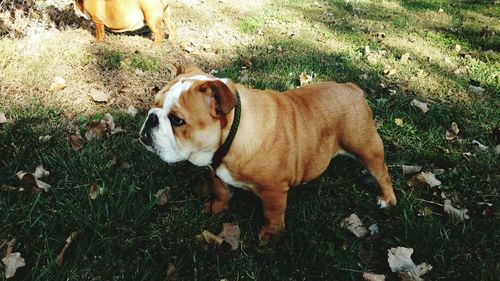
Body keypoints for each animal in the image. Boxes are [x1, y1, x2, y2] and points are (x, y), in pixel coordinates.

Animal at [139, 65, 396, 238]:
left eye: (177, 120)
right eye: (154, 103)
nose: (151, 118)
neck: (232, 135)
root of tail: (352, 89)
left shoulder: (274, 191)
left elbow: (272, 214)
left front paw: (269, 236)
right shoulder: (216, 172)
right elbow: (221, 192)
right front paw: (215, 208)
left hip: (366, 146)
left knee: (382, 172)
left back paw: (387, 200)